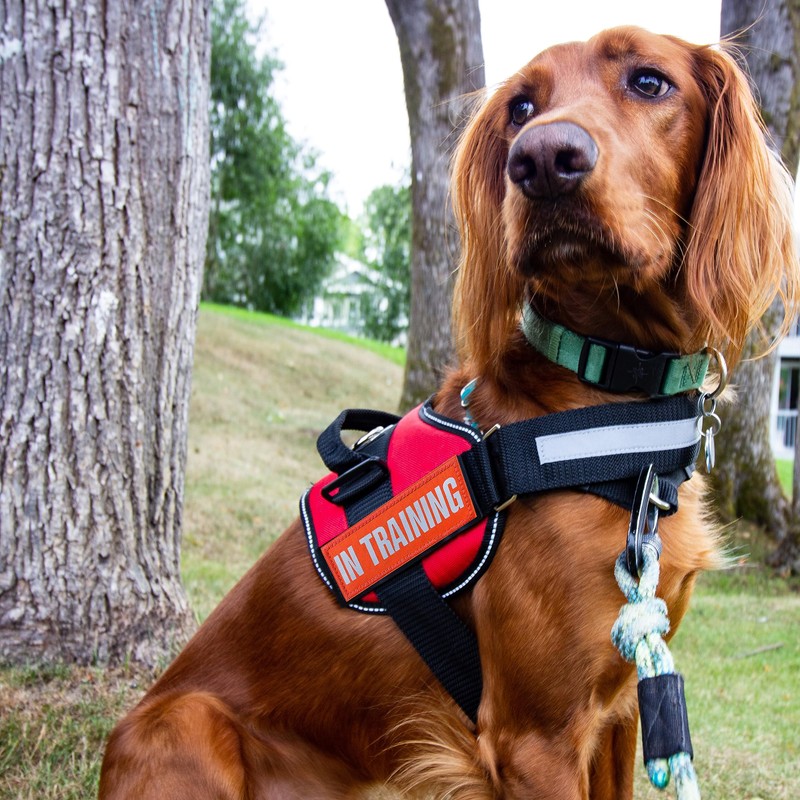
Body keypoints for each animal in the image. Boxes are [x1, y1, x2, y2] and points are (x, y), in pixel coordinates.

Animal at [99, 27, 799, 799]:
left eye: (650, 81)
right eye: (521, 106)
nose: (541, 160)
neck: (609, 410)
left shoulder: (622, 704)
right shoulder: (535, 738)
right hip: (186, 720)